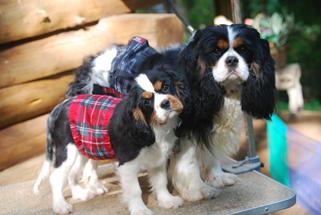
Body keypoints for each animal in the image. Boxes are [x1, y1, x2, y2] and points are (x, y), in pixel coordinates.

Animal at [32, 73, 184, 214]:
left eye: (165, 87)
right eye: (146, 102)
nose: (165, 103)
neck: (155, 126)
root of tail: (60, 106)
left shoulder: (158, 159)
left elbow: (161, 182)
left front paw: (167, 200)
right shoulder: (126, 164)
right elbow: (135, 190)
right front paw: (140, 209)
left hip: (82, 150)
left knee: (71, 174)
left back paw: (81, 194)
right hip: (67, 152)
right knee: (56, 177)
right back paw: (60, 205)